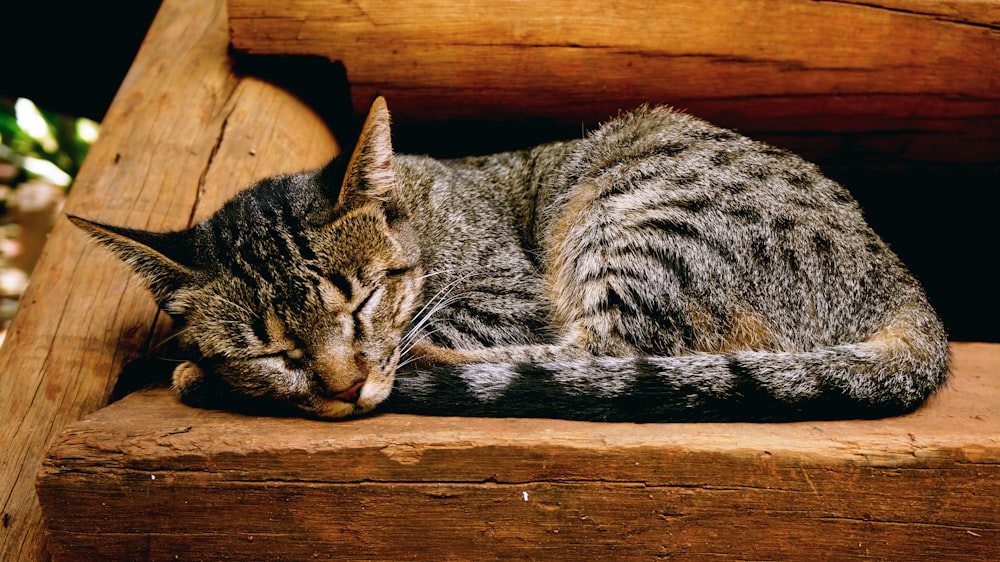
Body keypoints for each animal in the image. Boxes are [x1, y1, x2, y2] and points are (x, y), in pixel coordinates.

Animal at [68, 96, 944, 420]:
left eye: (361, 301)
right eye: (270, 346)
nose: (345, 389)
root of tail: (902, 286)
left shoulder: (502, 296)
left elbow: (440, 329)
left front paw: (200, 372)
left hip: (635, 216)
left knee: (600, 357)